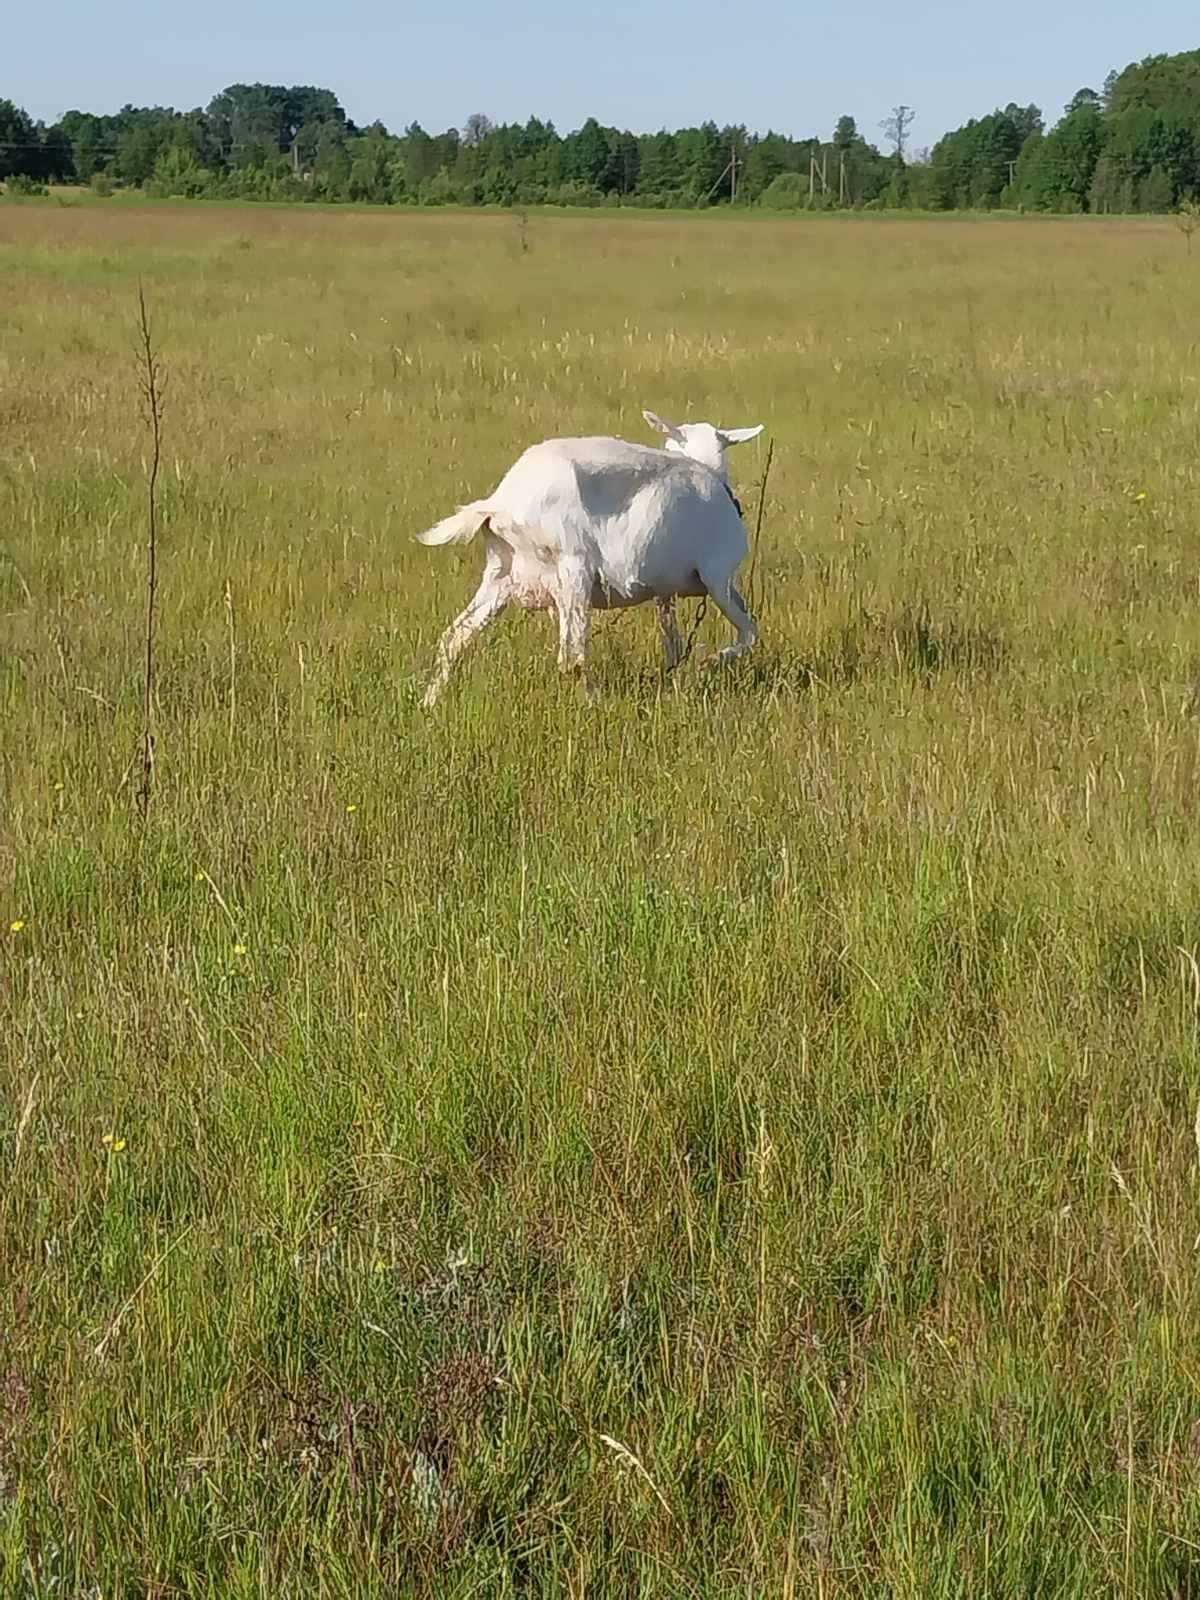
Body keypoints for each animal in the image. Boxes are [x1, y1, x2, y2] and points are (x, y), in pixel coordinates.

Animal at [419, 409, 764, 704]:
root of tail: (499, 503)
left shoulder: (664, 592)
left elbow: (674, 643)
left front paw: (675, 682)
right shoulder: (719, 577)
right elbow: (749, 631)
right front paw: (710, 661)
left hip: (501, 577)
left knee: (455, 636)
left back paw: (429, 702)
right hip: (573, 574)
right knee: (571, 655)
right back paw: (594, 700)